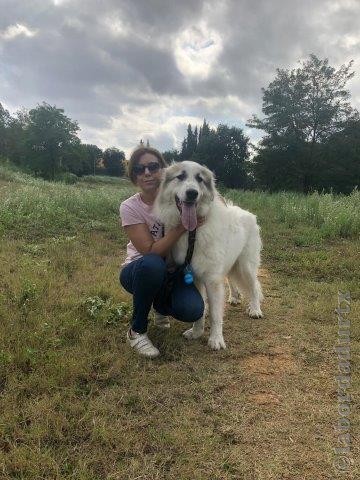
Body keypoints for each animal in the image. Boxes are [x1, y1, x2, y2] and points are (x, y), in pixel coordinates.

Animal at [153, 159, 262, 350]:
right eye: (180, 176)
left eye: (200, 179)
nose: (192, 193)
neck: (193, 232)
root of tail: (248, 213)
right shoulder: (195, 277)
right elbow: (200, 309)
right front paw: (196, 332)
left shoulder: (212, 280)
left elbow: (216, 314)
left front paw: (216, 339)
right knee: (231, 279)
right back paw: (234, 297)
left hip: (246, 266)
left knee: (254, 286)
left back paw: (255, 309)